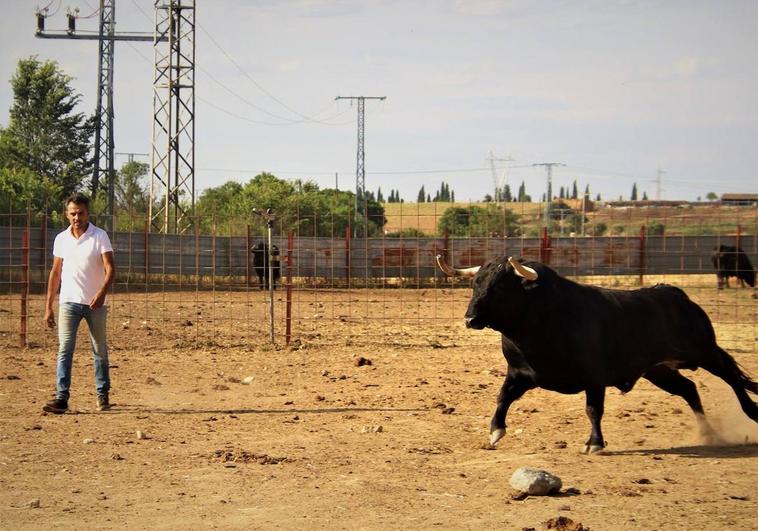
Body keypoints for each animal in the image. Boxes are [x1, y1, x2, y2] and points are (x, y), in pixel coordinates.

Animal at [440, 255, 758, 454]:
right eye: (476, 283)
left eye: (502, 287)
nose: (470, 319)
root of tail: (676, 294)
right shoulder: (520, 374)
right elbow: (502, 398)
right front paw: (495, 432)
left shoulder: (594, 378)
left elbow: (593, 410)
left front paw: (594, 443)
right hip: (657, 369)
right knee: (689, 389)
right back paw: (707, 433)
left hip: (704, 351)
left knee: (730, 376)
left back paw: (751, 412)